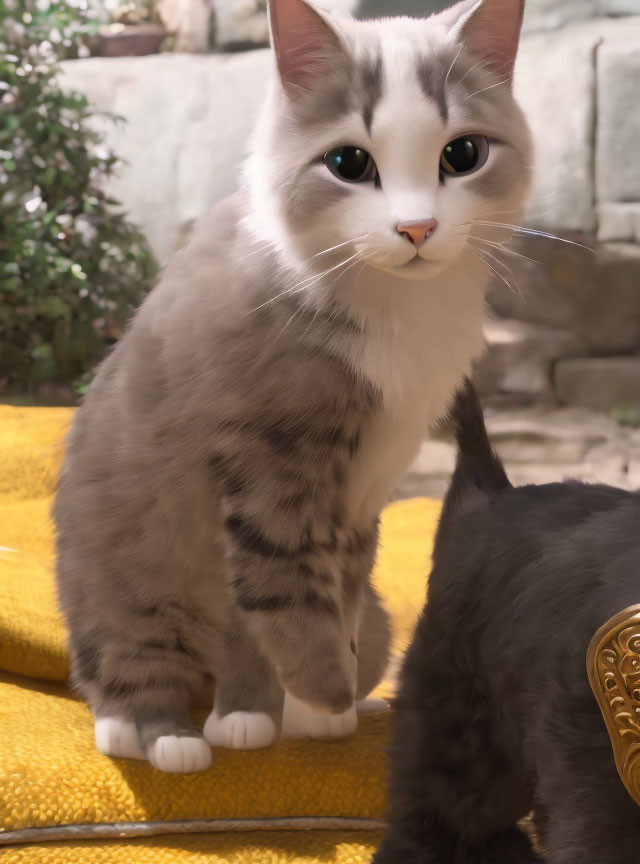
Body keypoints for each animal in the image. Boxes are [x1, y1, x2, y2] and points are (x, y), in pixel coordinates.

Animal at [55, 0, 532, 772]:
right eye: (349, 163)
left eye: (462, 155)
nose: (417, 227)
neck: (396, 305)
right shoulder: (269, 461)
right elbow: (285, 587)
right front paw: (302, 698)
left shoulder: (363, 491)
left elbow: (332, 593)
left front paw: (316, 712)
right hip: (128, 576)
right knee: (130, 662)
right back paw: (165, 735)